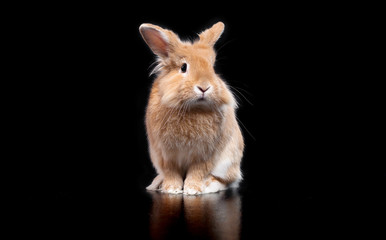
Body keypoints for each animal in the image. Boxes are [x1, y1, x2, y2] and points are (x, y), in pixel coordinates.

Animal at [139, 21, 244, 195]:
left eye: (212, 68)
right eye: (183, 67)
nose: (204, 87)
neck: (193, 108)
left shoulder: (205, 155)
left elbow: (198, 171)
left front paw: (192, 190)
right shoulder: (165, 154)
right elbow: (171, 172)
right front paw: (172, 189)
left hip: (228, 162)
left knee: (227, 181)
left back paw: (208, 186)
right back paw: (157, 184)